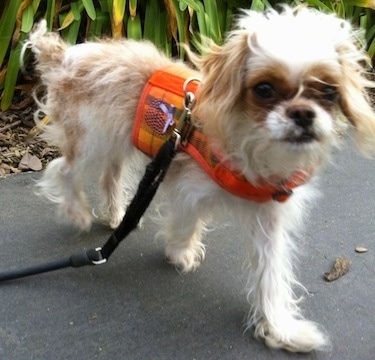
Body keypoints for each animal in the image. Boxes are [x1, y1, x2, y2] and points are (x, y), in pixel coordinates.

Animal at [22, 5, 375, 352]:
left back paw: (118, 215)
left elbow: (272, 274)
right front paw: (180, 253)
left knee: (111, 174)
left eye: (328, 91)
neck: (249, 145)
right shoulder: (189, 188)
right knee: (64, 171)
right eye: (264, 89)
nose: (302, 114)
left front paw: (280, 328)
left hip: (117, 139)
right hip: (91, 140)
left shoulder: (269, 217)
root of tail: (67, 55)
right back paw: (77, 213)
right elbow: (185, 222)